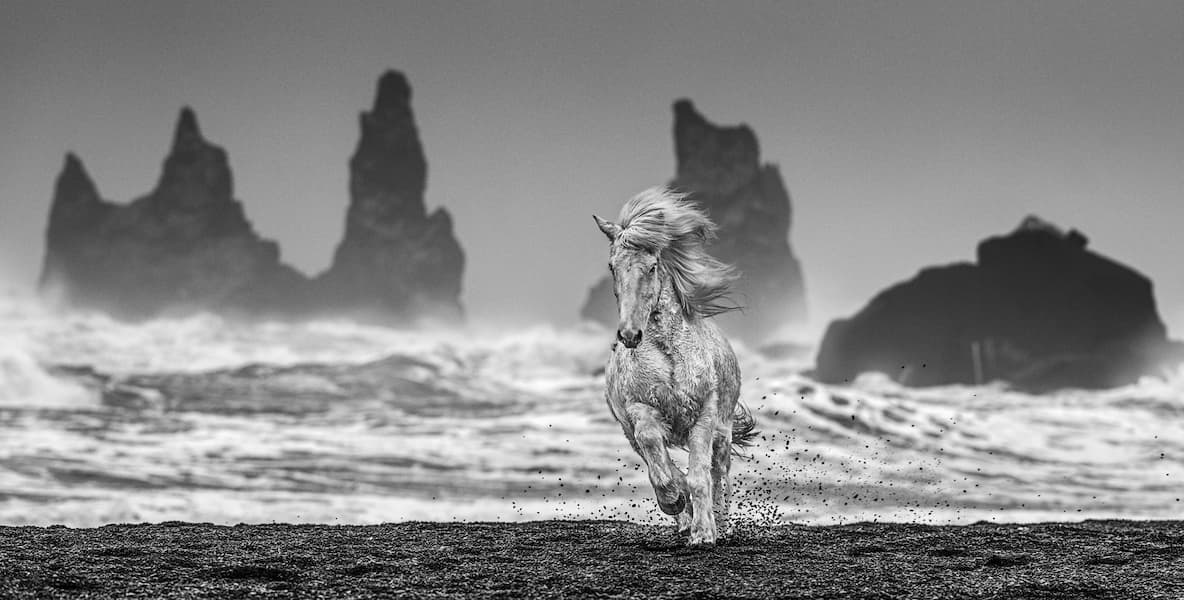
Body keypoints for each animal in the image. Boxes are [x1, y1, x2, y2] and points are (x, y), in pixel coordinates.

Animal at [593, 186, 757, 548]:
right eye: (612, 266)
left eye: (653, 266)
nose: (629, 334)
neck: (668, 355)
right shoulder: (640, 412)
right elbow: (664, 468)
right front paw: (676, 503)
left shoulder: (704, 415)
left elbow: (699, 477)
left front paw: (705, 533)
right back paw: (684, 519)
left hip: (723, 431)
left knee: (720, 472)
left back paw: (722, 524)